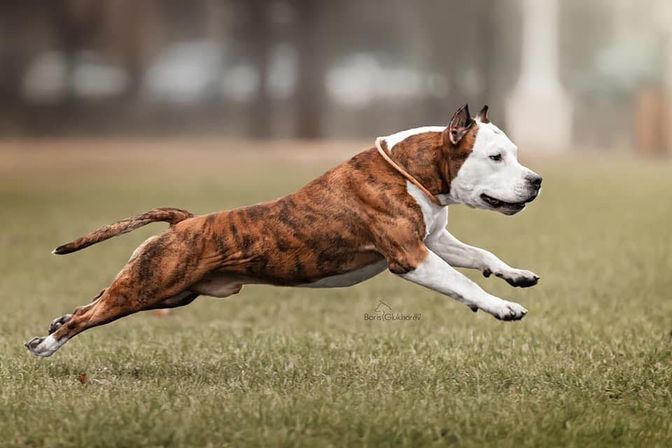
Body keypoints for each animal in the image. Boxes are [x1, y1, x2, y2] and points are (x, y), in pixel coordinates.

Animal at [26, 104, 540, 356]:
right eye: (496, 157)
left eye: (513, 154)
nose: (536, 181)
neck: (413, 172)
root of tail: (185, 221)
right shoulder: (411, 256)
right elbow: (464, 283)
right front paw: (502, 306)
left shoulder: (433, 241)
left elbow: (481, 256)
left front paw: (515, 275)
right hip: (150, 286)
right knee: (86, 317)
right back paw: (46, 345)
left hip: (167, 290)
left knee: (90, 303)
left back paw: (52, 325)